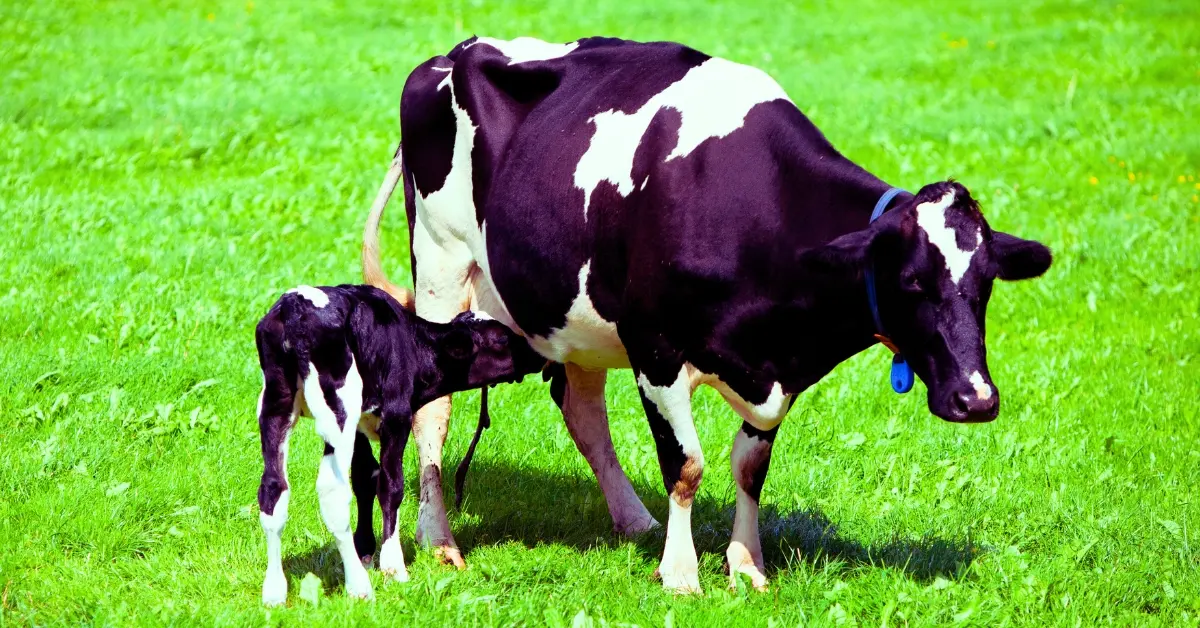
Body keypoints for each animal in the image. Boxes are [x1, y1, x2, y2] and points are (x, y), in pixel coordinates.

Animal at [253, 284, 544, 604]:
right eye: (502, 338)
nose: (538, 352)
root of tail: (294, 306)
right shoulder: (396, 416)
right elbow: (391, 486)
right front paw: (393, 566)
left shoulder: (362, 424)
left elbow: (365, 479)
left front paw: (366, 551)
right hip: (338, 408)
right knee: (332, 492)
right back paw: (359, 587)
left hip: (276, 404)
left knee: (273, 489)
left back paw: (274, 592)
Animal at [360, 36, 1052, 593]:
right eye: (911, 282)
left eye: (986, 284)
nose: (976, 398)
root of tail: (452, 52)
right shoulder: (655, 345)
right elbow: (686, 465)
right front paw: (681, 573)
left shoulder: (776, 366)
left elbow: (750, 467)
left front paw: (745, 564)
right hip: (443, 269)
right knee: (433, 412)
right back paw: (439, 541)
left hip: (572, 309)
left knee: (581, 408)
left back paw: (634, 520)